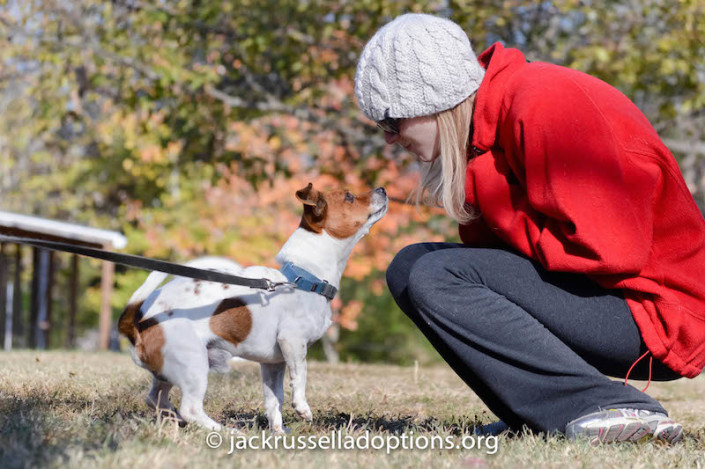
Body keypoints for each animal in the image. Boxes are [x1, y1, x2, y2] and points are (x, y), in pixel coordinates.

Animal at [118, 183, 388, 432]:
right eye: (349, 196)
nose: (382, 189)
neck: (304, 278)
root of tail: (136, 323)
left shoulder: (273, 363)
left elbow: (274, 399)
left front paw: (278, 431)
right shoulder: (292, 342)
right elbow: (300, 376)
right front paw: (302, 408)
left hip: (168, 371)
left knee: (155, 398)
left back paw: (174, 418)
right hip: (194, 365)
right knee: (191, 409)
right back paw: (225, 431)